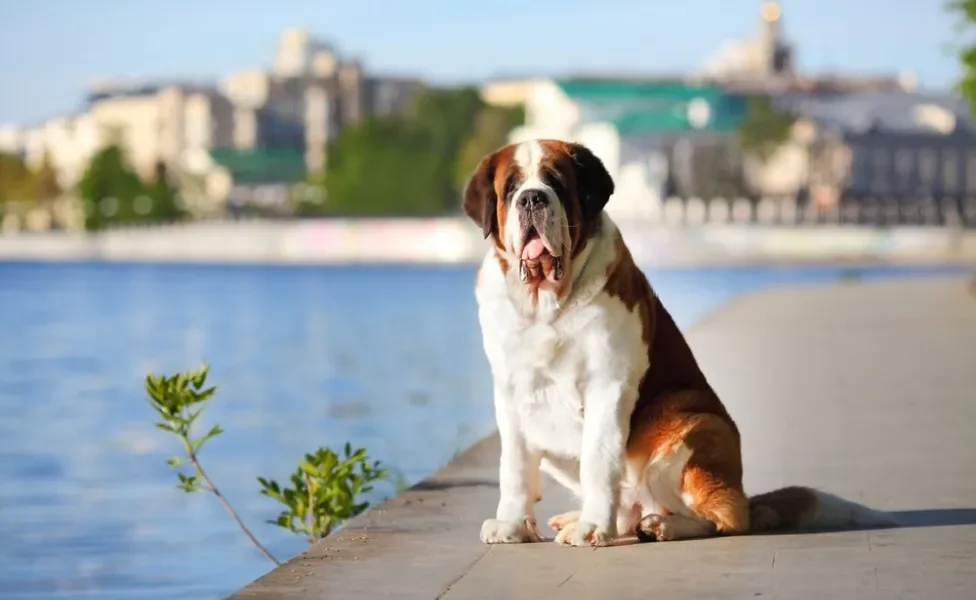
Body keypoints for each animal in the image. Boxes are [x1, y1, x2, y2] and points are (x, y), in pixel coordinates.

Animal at [462, 138, 896, 548]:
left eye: (554, 182)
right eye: (512, 188)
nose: (532, 198)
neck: (546, 306)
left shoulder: (607, 386)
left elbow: (598, 461)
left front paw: (592, 529)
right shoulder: (511, 390)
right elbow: (515, 466)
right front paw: (513, 525)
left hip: (692, 428)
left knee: (724, 518)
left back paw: (661, 525)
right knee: (629, 509)